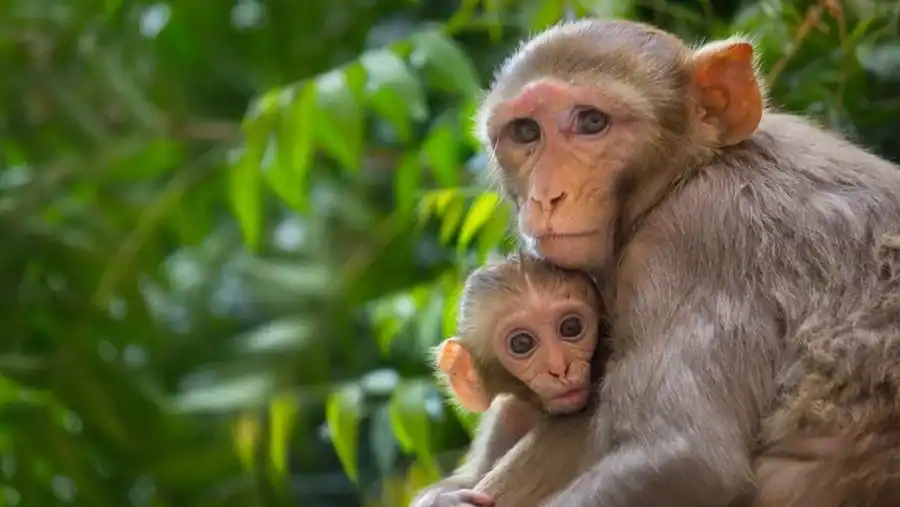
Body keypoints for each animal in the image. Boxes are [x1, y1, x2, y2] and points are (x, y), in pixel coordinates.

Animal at [412, 253, 611, 507]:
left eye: (570, 327)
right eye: (522, 343)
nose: (559, 368)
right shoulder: (508, 416)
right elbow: (472, 479)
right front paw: (443, 500)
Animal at [472, 17, 900, 507]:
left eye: (591, 122)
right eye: (525, 132)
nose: (547, 196)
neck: (692, 170)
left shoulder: (690, 242)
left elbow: (686, 458)